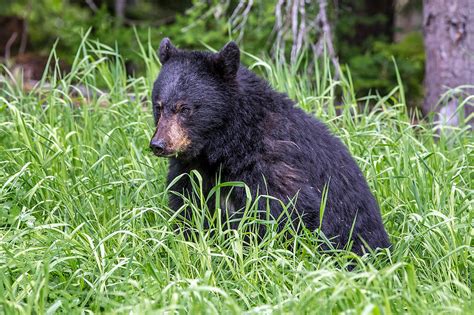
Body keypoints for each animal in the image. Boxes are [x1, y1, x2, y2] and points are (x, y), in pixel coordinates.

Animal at [150, 38, 390, 256]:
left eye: (184, 108)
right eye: (159, 106)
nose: (158, 144)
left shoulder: (272, 167)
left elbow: (284, 215)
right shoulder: (191, 171)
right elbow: (187, 209)